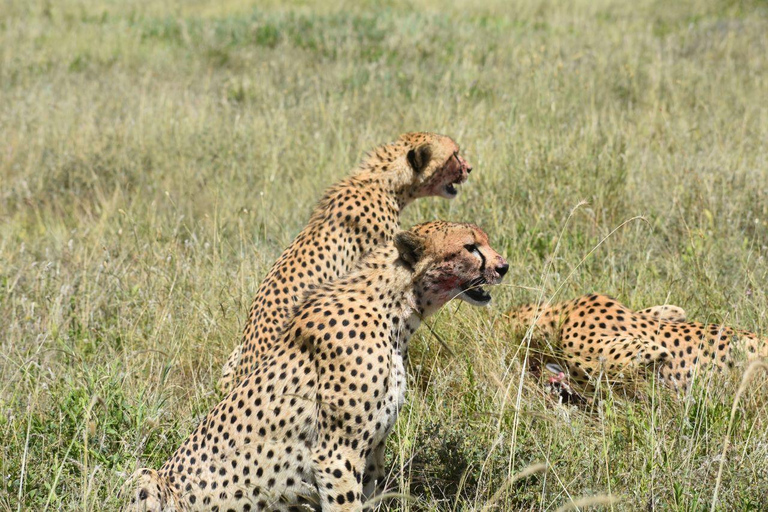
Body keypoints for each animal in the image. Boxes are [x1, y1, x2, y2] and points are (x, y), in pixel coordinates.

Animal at [123, 221, 510, 512]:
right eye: (470, 247)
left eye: (485, 242)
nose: (504, 266)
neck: (396, 309)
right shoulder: (336, 453)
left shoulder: (372, 450)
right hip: (146, 477)